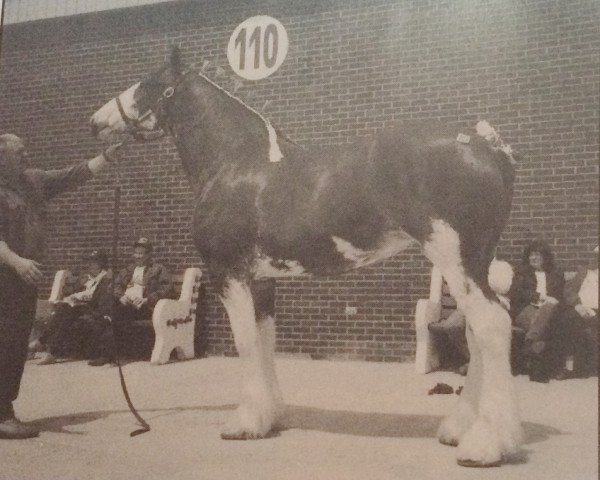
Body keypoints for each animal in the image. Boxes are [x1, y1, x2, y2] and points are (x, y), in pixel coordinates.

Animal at [89, 47, 520, 466]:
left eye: (148, 84)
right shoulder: (261, 280)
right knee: (477, 331)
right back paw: (460, 429)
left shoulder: (228, 272)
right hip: (472, 264)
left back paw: (483, 445)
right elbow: (265, 340)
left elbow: (246, 342)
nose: (96, 122)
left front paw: (243, 423)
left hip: (456, 259)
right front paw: (269, 416)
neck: (236, 163)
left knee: (491, 325)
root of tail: (487, 146)